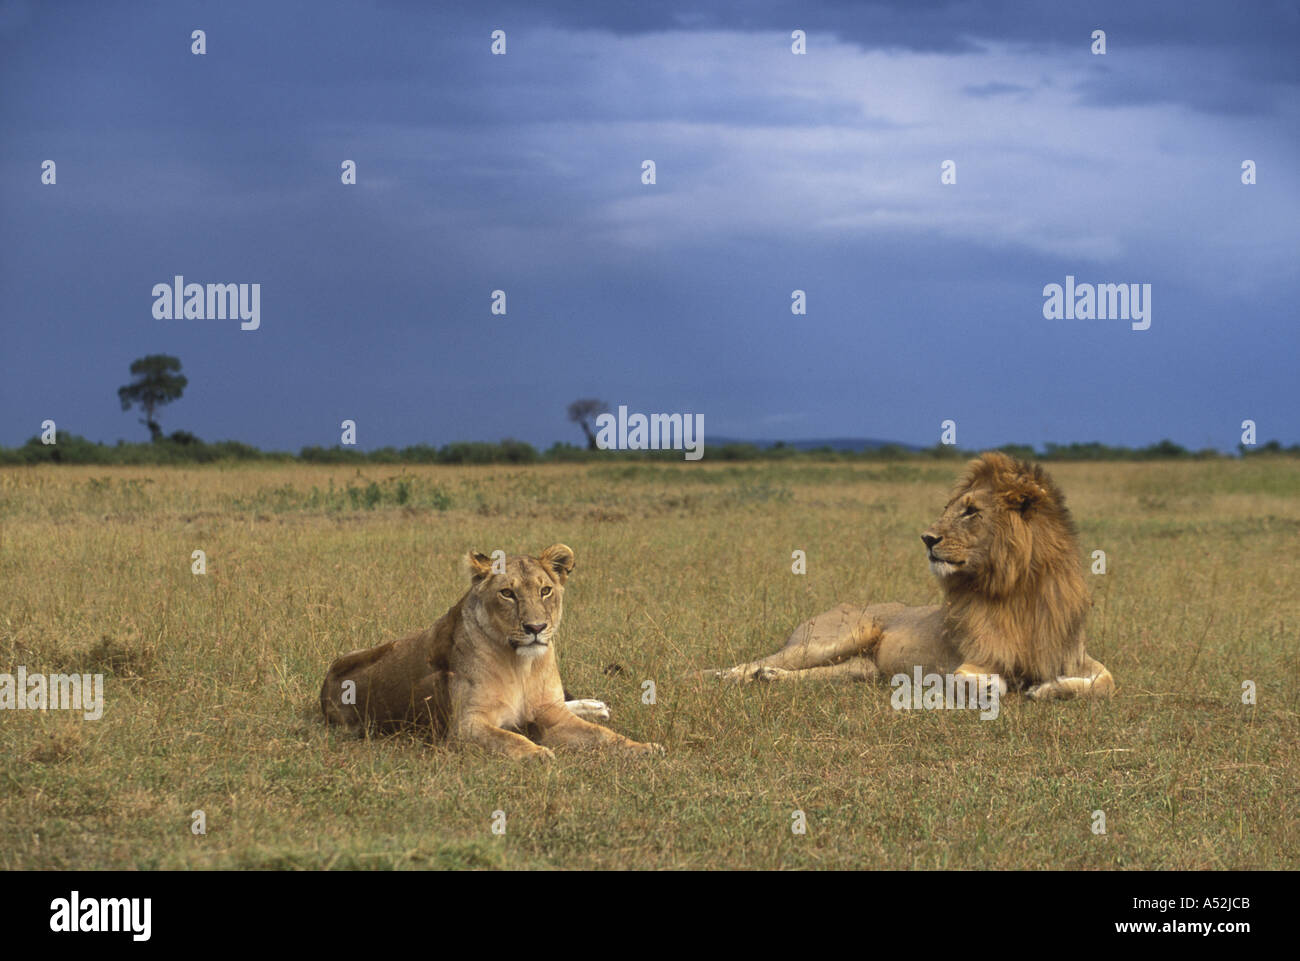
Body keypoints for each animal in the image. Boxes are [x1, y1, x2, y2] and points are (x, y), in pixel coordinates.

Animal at [320, 543, 663, 760]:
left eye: (545, 590)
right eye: (507, 593)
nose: (536, 627)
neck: (523, 666)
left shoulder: (550, 712)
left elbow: (603, 735)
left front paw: (644, 748)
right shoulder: (465, 725)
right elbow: (510, 737)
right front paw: (537, 753)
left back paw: (596, 706)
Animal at [708, 452, 1114, 700]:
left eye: (971, 511)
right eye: (950, 508)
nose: (927, 538)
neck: (1019, 589)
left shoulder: (1072, 654)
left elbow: (1107, 681)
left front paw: (1046, 687)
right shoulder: (966, 662)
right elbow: (981, 681)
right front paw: (1011, 684)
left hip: (862, 668)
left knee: (817, 671)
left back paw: (769, 678)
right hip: (833, 637)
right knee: (760, 659)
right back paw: (718, 676)